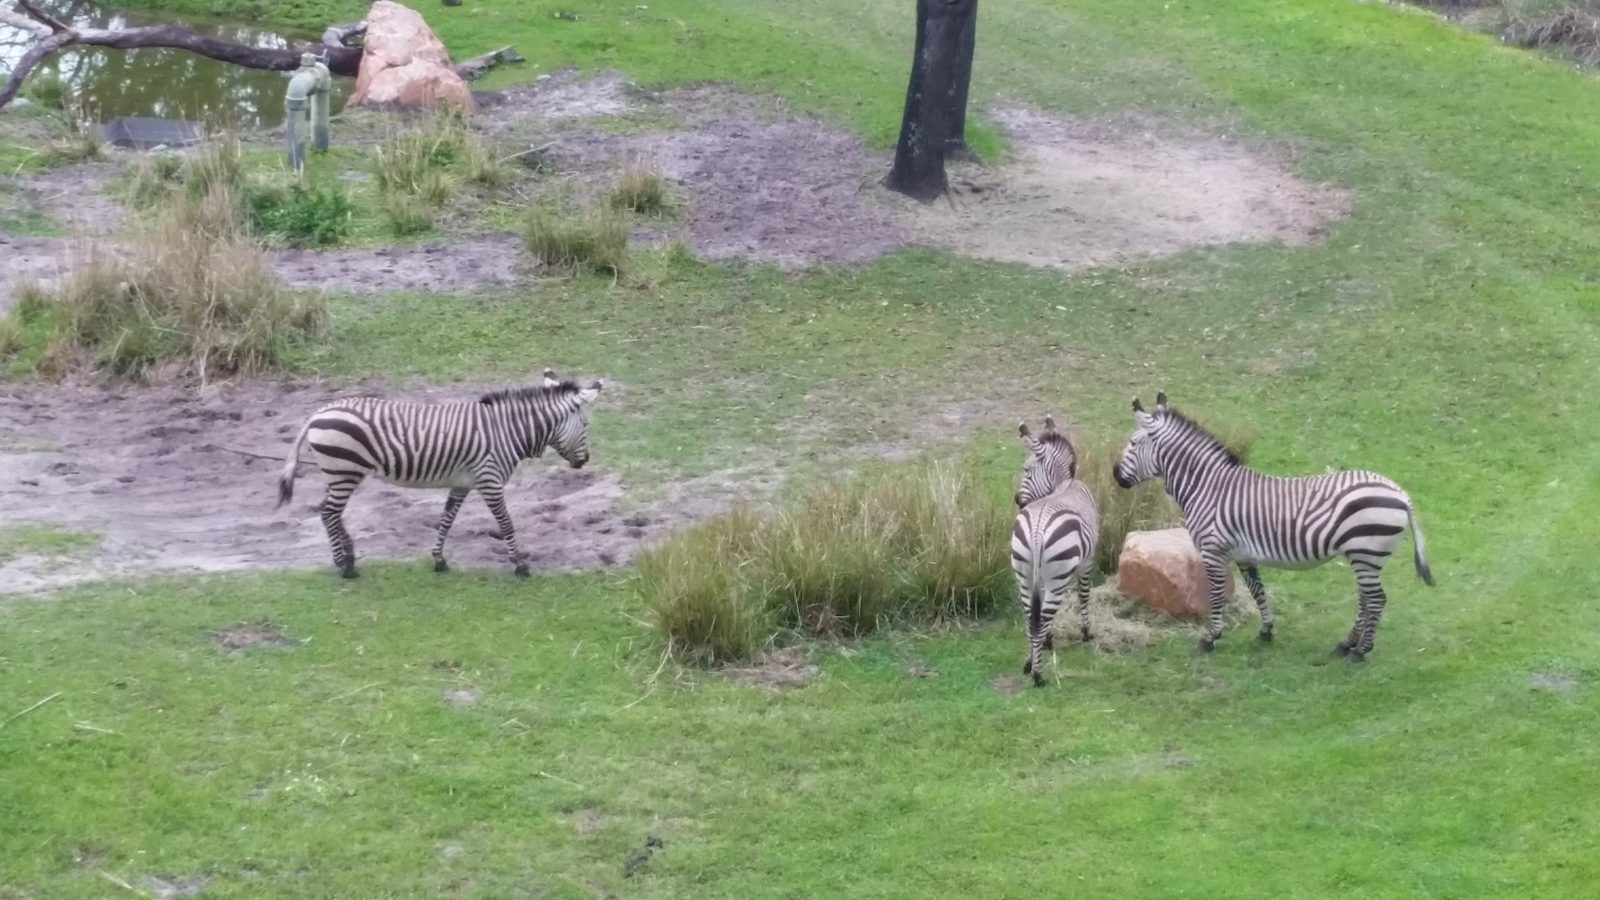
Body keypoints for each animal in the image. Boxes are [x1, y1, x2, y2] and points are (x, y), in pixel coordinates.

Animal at [277, 369, 604, 579]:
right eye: (586, 425)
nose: (585, 461)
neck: (507, 431)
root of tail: (319, 413)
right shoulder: (490, 480)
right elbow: (506, 524)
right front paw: (520, 565)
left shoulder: (462, 483)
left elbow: (446, 520)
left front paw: (439, 560)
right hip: (345, 470)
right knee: (328, 513)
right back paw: (344, 566)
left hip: (342, 473)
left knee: (331, 511)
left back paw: (349, 555)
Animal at [1011, 416, 1100, 687]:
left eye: (1027, 470)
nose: (1018, 501)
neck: (1064, 484)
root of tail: (1038, 530)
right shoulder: (1087, 561)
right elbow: (1084, 595)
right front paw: (1086, 632)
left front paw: (1047, 641)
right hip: (1058, 577)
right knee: (1042, 617)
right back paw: (1038, 675)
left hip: (1024, 574)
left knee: (1031, 617)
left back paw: (1029, 663)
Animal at [1112, 391, 1434, 660]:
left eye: (1133, 443)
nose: (1115, 475)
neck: (1208, 485)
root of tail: (1401, 494)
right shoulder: (1243, 554)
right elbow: (1257, 590)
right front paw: (1266, 631)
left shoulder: (1213, 550)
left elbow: (1216, 595)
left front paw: (1210, 638)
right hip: (1363, 556)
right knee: (1366, 599)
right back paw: (1346, 644)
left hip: (1366, 552)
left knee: (1376, 599)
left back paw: (1360, 651)